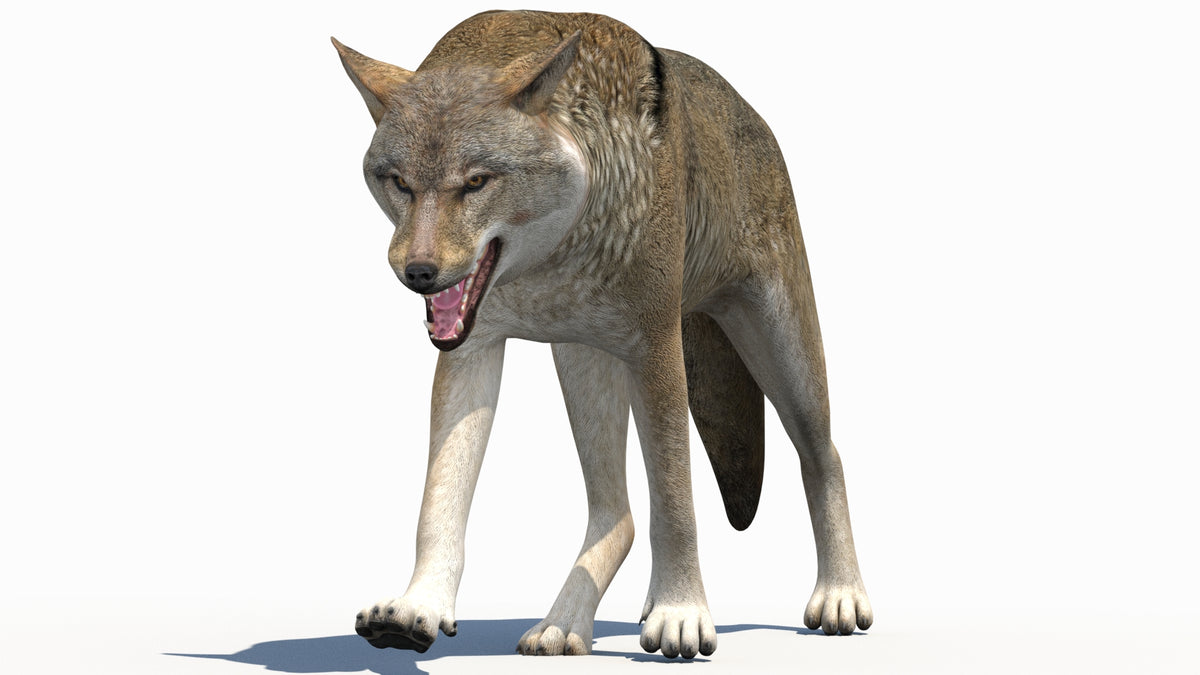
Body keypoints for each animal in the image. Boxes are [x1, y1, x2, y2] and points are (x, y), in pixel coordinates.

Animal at [333, 10, 872, 659]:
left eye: (477, 181)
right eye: (399, 182)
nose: (417, 272)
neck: (554, 264)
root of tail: (749, 110)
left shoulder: (657, 347)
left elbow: (676, 499)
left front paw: (680, 612)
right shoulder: (472, 349)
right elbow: (439, 502)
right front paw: (418, 606)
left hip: (778, 354)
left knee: (825, 456)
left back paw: (840, 595)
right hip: (584, 361)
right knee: (617, 512)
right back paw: (564, 625)